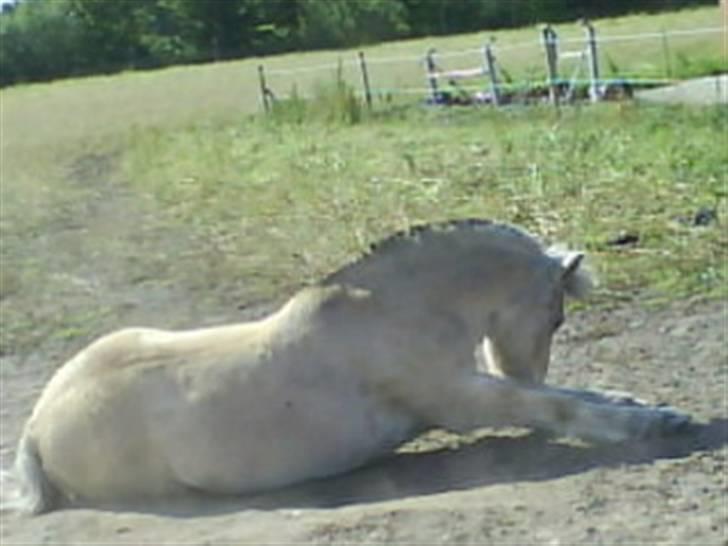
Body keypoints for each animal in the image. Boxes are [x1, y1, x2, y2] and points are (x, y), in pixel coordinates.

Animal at [2, 218, 692, 516]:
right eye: (556, 317)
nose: (528, 368)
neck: (394, 308)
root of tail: (35, 428)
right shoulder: (462, 399)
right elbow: (552, 407)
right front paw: (653, 425)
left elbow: (579, 396)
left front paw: (641, 404)